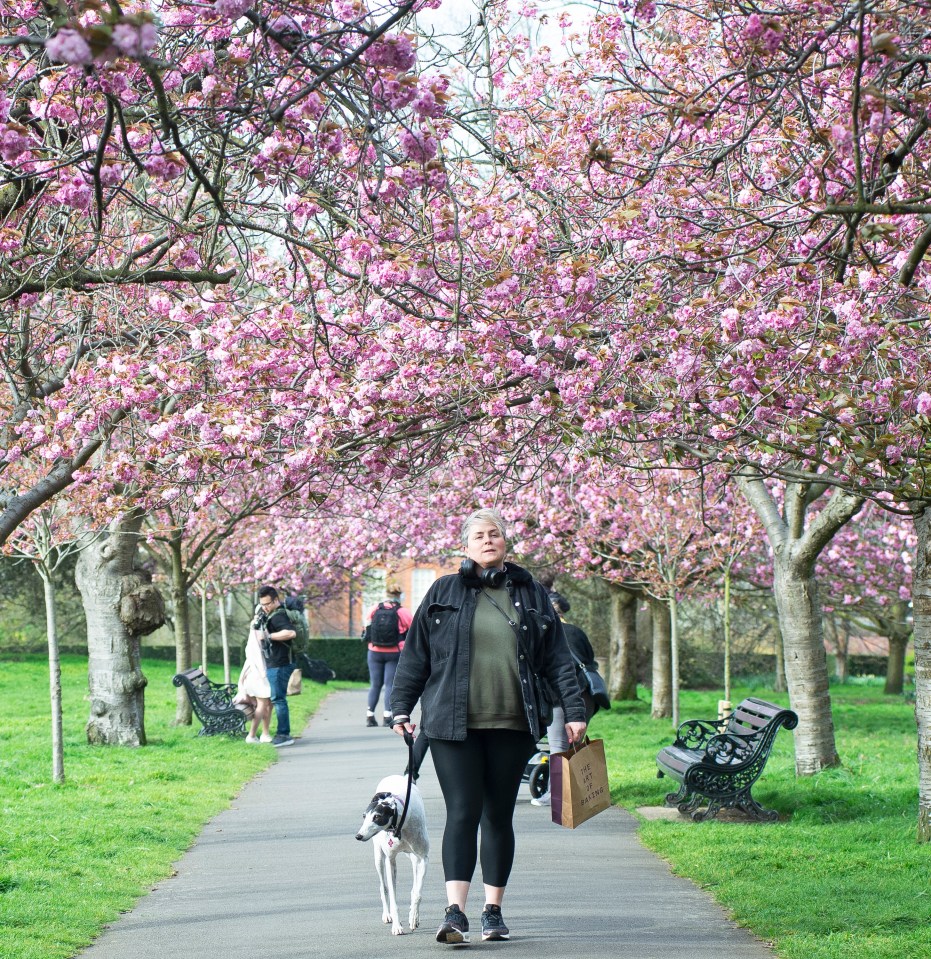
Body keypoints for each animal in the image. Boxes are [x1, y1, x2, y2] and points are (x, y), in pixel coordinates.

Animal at [354, 772, 432, 936]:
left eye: (377, 817)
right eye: (364, 816)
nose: (358, 836)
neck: (400, 824)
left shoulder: (423, 859)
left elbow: (417, 893)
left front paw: (413, 918)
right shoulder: (390, 860)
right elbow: (392, 895)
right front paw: (397, 926)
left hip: (414, 858)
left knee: (413, 887)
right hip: (378, 857)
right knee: (383, 887)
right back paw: (387, 915)